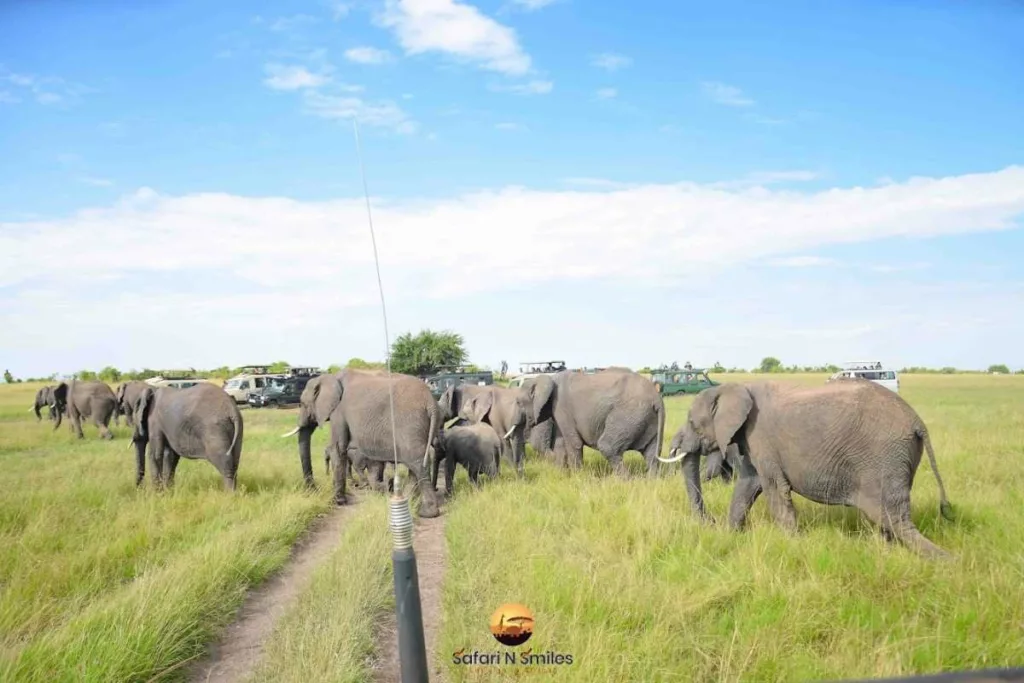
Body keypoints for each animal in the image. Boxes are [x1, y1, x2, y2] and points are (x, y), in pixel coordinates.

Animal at [282, 368, 442, 518]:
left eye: (302, 404)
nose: (313, 490)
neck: (329, 378)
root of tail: (431, 402)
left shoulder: (338, 412)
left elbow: (338, 448)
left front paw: (339, 501)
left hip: (409, 423)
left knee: (418, 462)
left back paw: (426, 512)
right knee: (415, 463)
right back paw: (407, 499)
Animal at [516, 370, 667, 479]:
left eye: (518, 402)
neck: (548, 378)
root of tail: (656, 398)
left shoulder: (561, 406)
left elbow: (574, 443)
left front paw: (577, 477)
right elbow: (560, 443)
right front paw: (560, 475)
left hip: (629, 414)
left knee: (607, 447)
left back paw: (621, 481)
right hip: (648, 418)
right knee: (652, 453)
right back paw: (651, 481)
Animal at [659, 378, 954, 561]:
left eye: (692, 422)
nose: (709, 521)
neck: (738, 386)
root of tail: (917, 422)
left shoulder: (761, 436)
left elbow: (774, 489)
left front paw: (793, 544)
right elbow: (748, 485)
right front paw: (730, 535)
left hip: (885, 458)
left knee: (892, 517)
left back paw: (948, 562)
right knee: (889, 518)